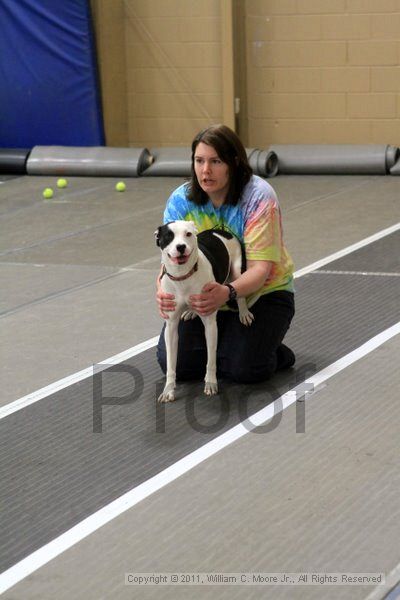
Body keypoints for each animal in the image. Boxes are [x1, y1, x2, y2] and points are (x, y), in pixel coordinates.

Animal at [155, 220, 253, 404]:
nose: (180, 246)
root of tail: (221, 231)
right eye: (168, 236)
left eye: (187, 234)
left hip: (237, 269)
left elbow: (211, 359)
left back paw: (243, 313)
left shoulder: (210, 325)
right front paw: (168, 390)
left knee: (240, 292)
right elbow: (171, 363)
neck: (183, 276)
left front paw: (211, 383)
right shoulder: (171, 328)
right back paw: (191, 312)